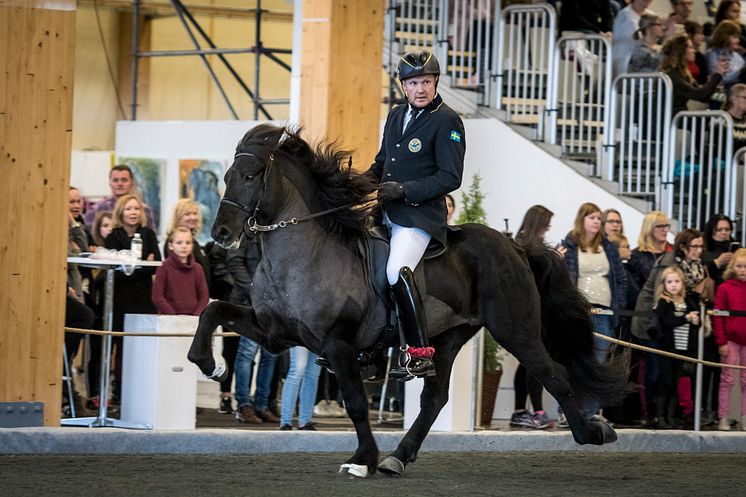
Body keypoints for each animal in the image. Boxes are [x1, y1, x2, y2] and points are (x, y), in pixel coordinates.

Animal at [186, 123, 628, 476]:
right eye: (226, 175)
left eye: (250, 175)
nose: (221, 234)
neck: (302, 253)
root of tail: (516, 246)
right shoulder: (276, 333)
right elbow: (213, 309)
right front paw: (209, 363)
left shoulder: (338, 343)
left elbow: (356, 402)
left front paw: (362, 459)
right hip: (448, 338)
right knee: (435, 398)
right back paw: (398, 457)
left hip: (515, 330)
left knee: (555, 375)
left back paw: (594, 432)